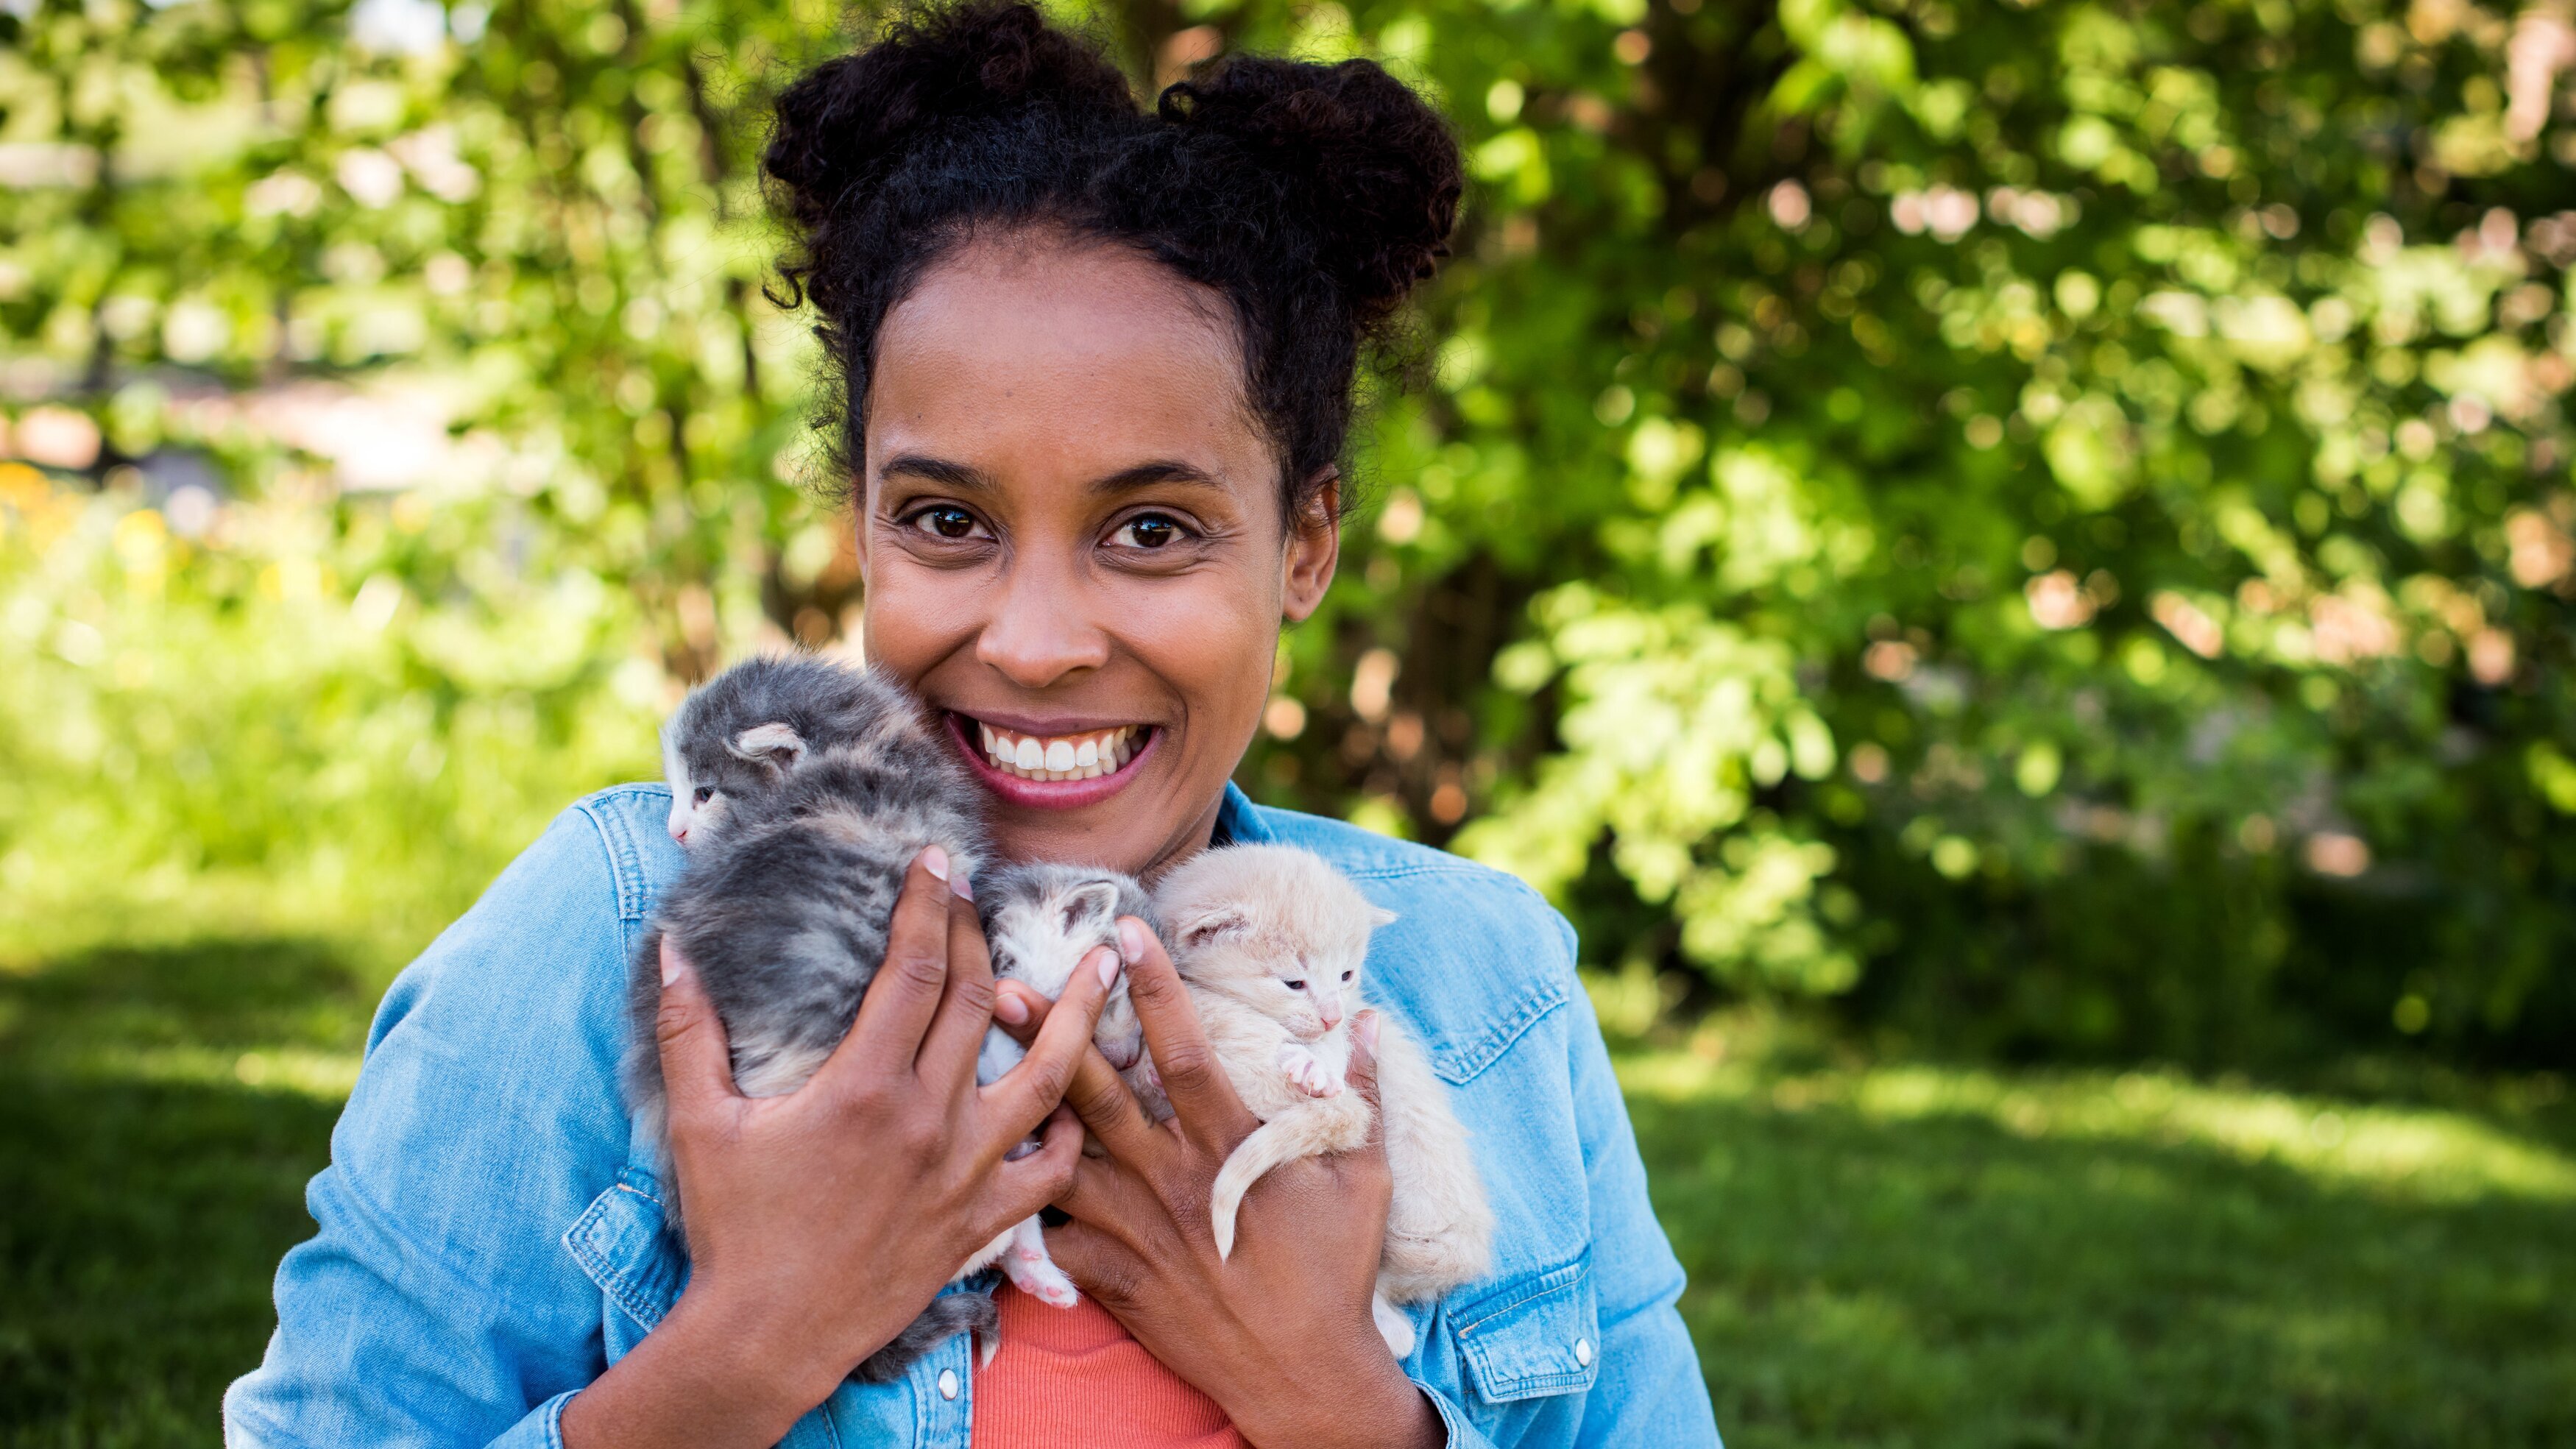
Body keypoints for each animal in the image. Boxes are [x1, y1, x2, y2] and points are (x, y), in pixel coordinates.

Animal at [1146, 844, 1495, 1358]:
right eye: (1294, 983)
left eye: (1347, 975)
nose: (1329, 1014)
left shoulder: (1353, 1026)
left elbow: (1336, 1049)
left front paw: (1315, 1067)